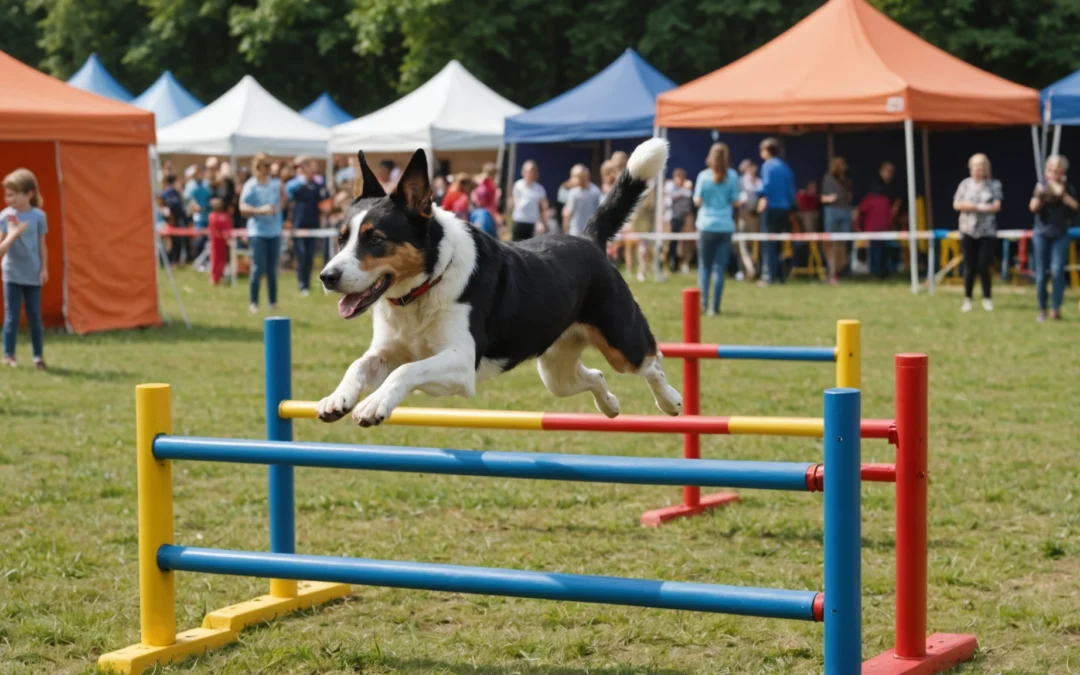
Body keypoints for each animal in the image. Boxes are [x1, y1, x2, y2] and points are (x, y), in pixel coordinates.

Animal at [315, 138, 678, 425]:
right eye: (341, 238)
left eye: (375, 239)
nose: (326, 277)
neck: (425, 287)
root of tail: (589, 239)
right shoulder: (388, 351)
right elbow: (358, 365)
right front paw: (337, 399)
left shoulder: (461, 364)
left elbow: (405, 371)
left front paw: (373, 404)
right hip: (555, 370)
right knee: (595, 376)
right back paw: (610, 405)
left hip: (622, 343)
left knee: (651, 362)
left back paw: (670, 401)